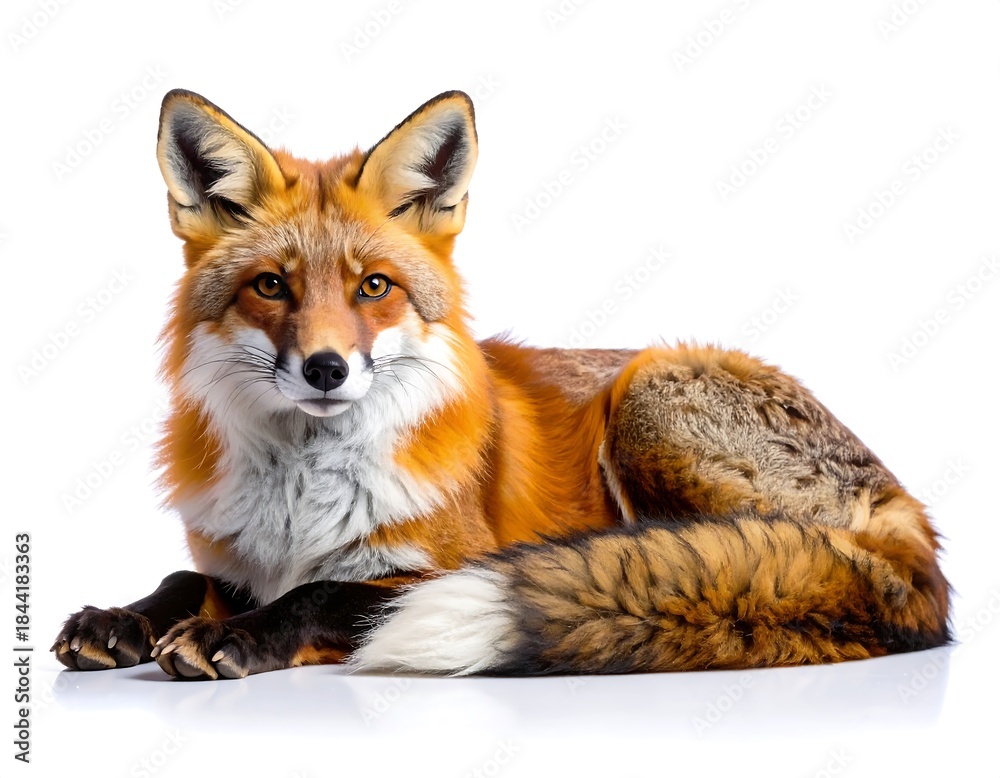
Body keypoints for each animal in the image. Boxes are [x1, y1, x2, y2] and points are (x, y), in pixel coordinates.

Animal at [52, 89, 950, 680]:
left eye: (373, 287)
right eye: (271, 287)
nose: (326, 369)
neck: (301, 495)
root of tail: (910, 517)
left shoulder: (432, 569)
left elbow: (325, 592)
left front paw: (232, 637)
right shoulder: (237, 560)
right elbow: (185, 580)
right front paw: (119, 619)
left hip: (649, 394)